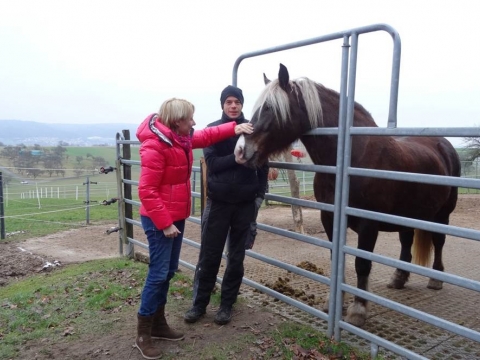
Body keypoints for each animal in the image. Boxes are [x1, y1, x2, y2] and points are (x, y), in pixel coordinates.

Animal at [234, 64, 460, 326]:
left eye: (271, 108)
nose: (240, 151)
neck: (349, 158)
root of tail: (443, 144)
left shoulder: (368, 224)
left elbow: (362, 264)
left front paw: (358, 310)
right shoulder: (329, 218)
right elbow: (337, 259)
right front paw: (334, 303)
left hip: (442, 214)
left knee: (439, 241)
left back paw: (436, 279)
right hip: (407, 215)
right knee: (406, 241)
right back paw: (399, 278)